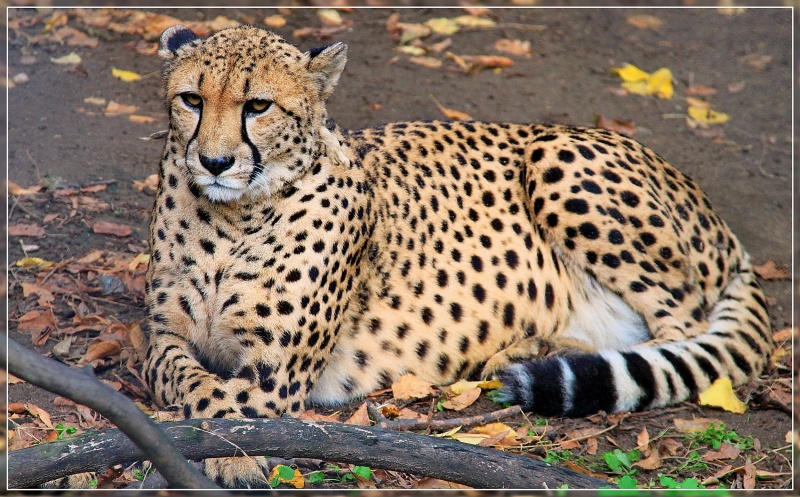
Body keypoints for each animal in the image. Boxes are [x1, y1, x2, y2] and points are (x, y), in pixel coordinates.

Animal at [142, 24, 773, 488]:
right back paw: (535, 350)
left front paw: (228, 451)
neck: (233, 217)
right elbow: (179, 377)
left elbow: (227, 401)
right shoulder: (161, 336)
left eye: (258, 106)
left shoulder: (273, 372)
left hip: (557, 154)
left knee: (681, 330)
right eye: (191, 99)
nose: (214, 162)